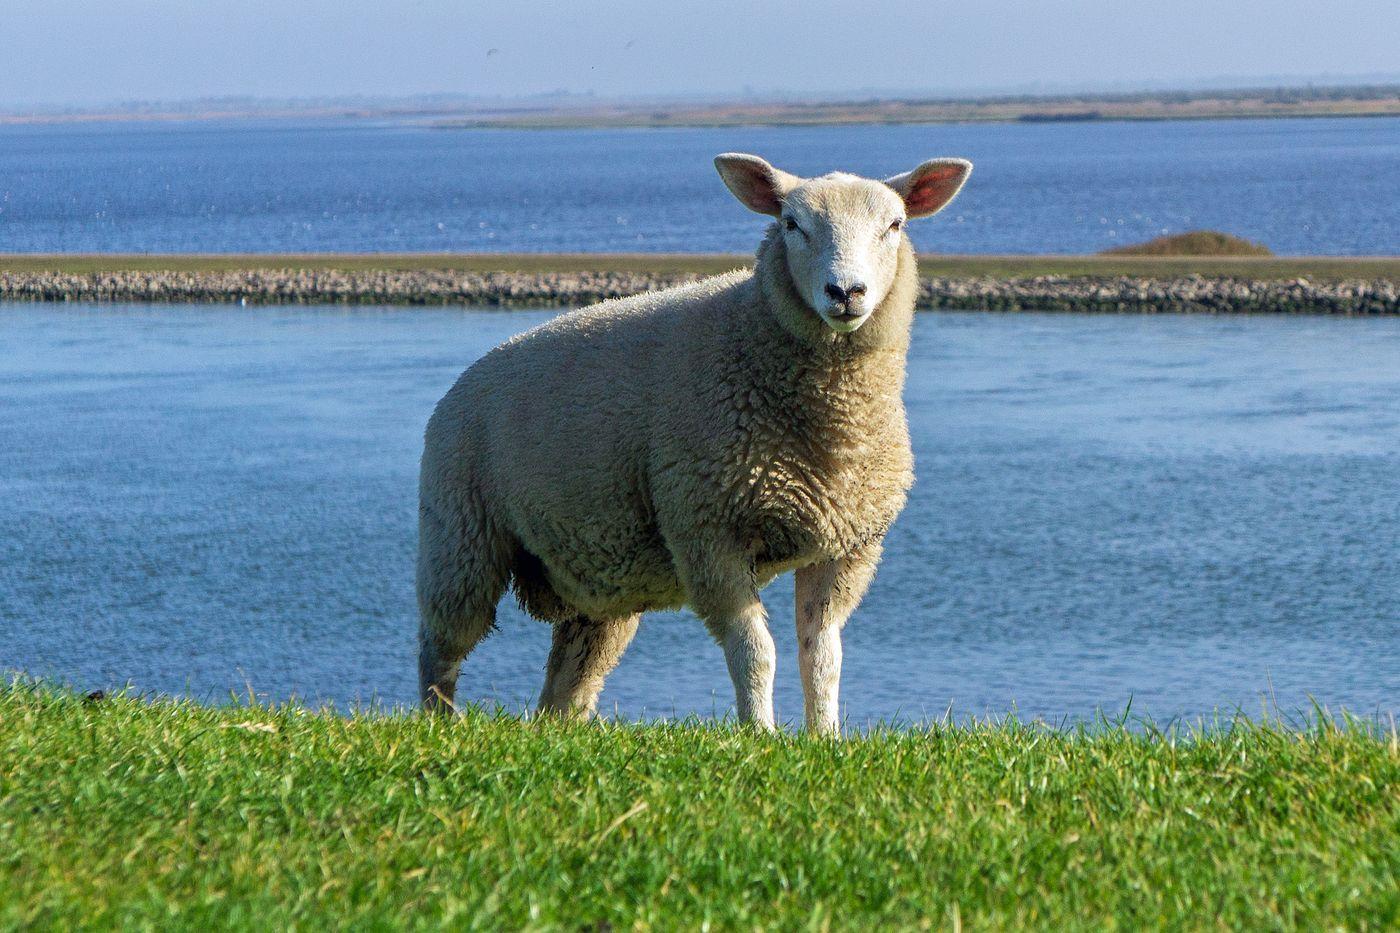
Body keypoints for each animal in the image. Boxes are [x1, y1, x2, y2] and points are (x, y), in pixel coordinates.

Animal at [417, 152, 972, 733]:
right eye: (791, 224)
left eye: (895, 225)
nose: (845, 293)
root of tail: (465, 380)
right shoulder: (708, 532)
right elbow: (756, 652)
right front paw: (761, 734)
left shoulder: (846, 547)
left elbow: (823, 656)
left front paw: (825, 737)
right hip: (460, 537)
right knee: (441, 649)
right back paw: (440, 723)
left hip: (596, 580)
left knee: (567, 683)